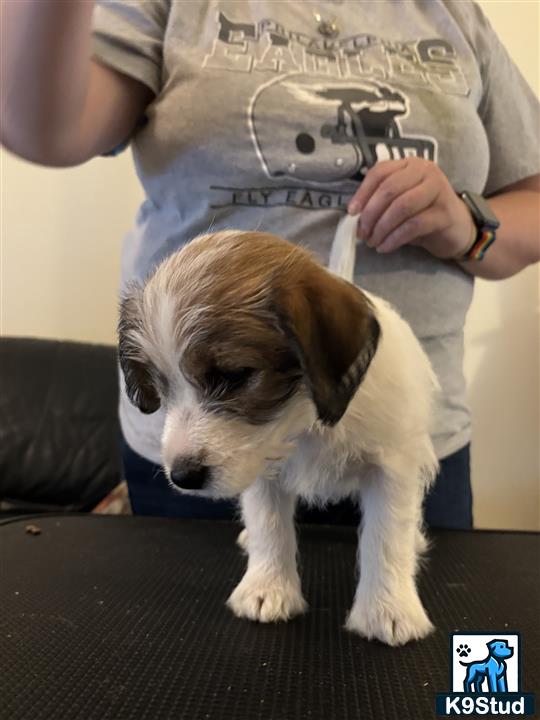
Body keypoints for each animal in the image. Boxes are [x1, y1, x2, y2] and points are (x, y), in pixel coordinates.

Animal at [119, 226, 438, 648]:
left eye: (233, 376)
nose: (182, 477)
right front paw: (266, 587)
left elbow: (386, 535)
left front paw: (388, 609)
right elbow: (269, 526)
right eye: (159, 386)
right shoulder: (261, 468)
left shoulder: (392, 468)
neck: (303, 421)